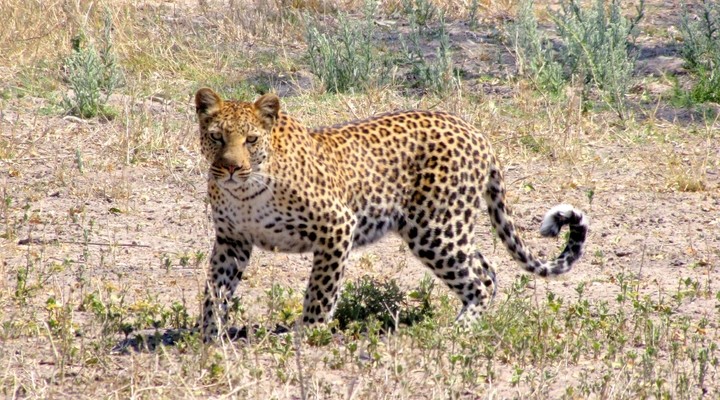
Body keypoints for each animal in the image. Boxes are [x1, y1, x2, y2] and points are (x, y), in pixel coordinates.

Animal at [194, 87, 588, 340]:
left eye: (251, 140)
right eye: (216, 137)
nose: (230, 168)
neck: (244, 192)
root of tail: (474, 131)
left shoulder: (338, 225)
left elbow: (321, 290)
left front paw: (309, 335)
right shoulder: (231, 240)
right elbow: (215, 289)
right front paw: (209, 337)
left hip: (434, 229)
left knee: (478, 280)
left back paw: (458, 331)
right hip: (449, 227)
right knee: (487, 271)